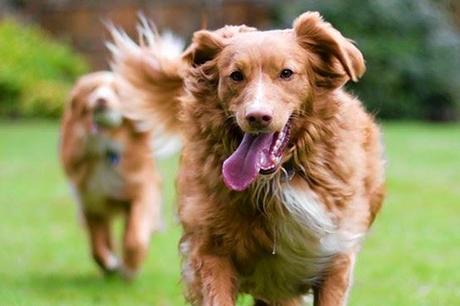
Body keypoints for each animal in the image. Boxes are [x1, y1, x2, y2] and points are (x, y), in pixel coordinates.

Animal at [59, 71, 163, 280]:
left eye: (118, 92)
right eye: (92, 89)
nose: (101, 100)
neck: (104, 148)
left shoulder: (141, 192)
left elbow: (134, 238)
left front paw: (130, 268)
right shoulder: (91, 202)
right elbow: (96, 246)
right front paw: (109, 263)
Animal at [110, 11, 384, 304]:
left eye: (286, 73)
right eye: (236, 75)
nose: (257, 116)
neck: (276, 180)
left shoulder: (335, 255)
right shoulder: (211, 250)